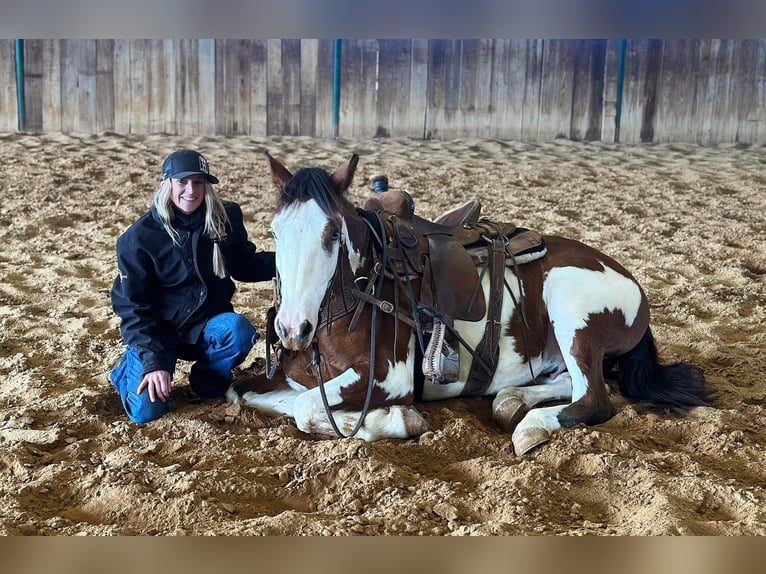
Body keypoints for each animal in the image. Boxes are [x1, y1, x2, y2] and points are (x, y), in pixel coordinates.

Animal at [226, 154, 712, 460]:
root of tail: (631, 283)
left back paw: (530, 426)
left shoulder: (388, 375)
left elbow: (307, 409)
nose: (292, 329)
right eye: (273, 231)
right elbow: (254, 395)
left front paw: (398, 420)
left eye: (331, 233)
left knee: (592, 399)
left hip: (572, 310)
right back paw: (513, 400)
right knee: (566, 383)